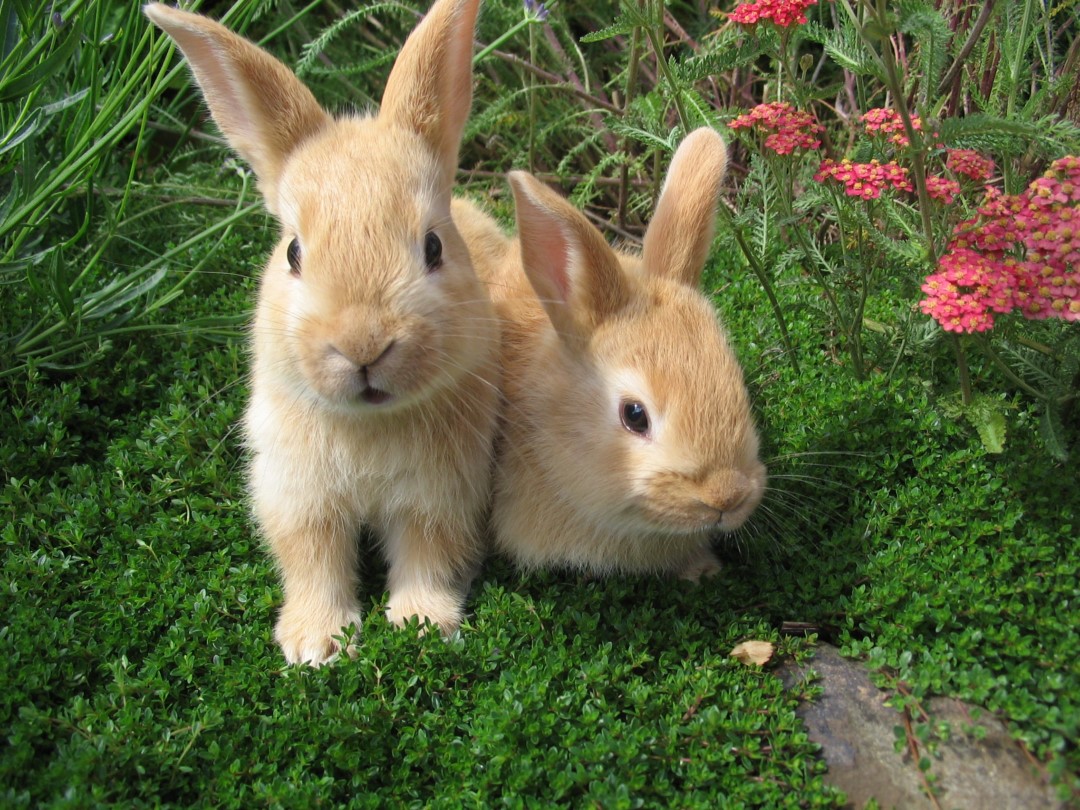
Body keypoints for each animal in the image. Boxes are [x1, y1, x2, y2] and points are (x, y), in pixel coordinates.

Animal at [144, 0, 501, 669]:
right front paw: (316, 644)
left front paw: (422, 625)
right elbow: (313, 561)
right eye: (293, 252)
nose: (363, 347)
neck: (369, 423)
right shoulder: (299, 498)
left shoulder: (441, 497)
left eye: (433, 247)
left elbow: (428, 557)